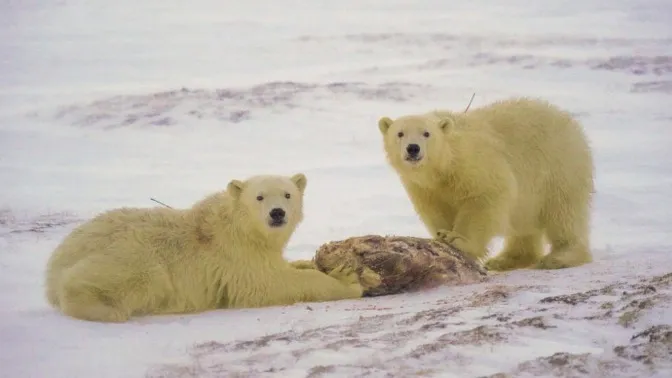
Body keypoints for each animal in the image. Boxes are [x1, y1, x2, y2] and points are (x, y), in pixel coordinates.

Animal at [43, 173, 368, 324]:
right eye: (260, 196)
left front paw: (310, 263)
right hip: (132, 254)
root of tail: (53, 267)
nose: (277, 213)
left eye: (288, 194)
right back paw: (104, 309)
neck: (239, 227)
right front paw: (348, 281)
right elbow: (270, 283)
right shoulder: (235, 255)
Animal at [378, 96, 592, 270]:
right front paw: (441, 236)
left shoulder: (473, 164)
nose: (413, 148)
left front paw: (457, 239)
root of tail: (569, 121)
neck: (444, 167)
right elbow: (435, 209)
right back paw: (506, 260)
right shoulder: (424, 188)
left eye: (426, 133)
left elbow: (484, 197)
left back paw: (560, 256)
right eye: (400, 133)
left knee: (563, 212)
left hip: (558, 166)